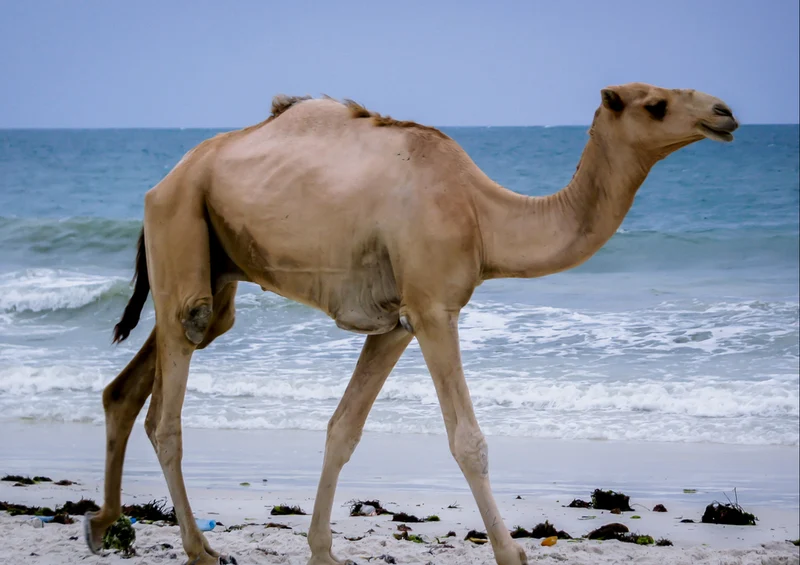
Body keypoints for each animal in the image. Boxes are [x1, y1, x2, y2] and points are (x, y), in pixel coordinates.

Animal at [83, 82, 737, 565]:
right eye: (655, 104)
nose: (725, 112)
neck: (483, 216)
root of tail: (163, 181)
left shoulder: (395, 325)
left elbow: (343, 430)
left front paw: (322, 550)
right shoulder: (432, 308)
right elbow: (468, 441)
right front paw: (512, 553)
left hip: (215, 268)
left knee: (129, 388)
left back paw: (104, 525)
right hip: (180, 230)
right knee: (169, 406)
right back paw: (200, 549)